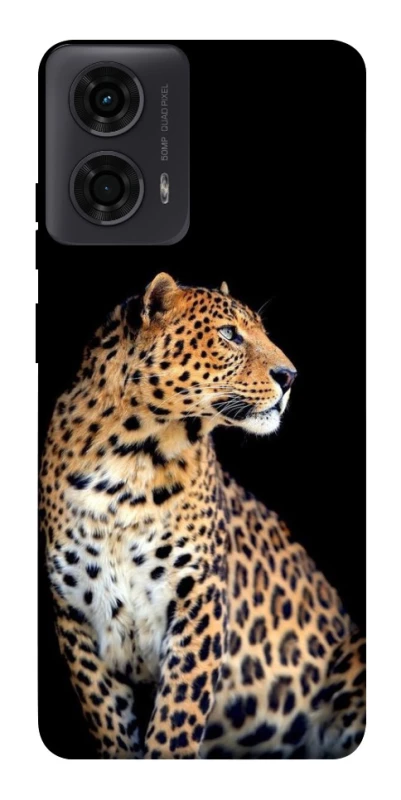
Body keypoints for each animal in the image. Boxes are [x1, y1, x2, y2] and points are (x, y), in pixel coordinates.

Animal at [39, 272, 366, 759]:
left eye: (262, 331)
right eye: (229, 334)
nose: (290, 376)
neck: (129, 461)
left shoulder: (200, 597)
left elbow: (176, 719)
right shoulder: (76, 617)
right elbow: (111, 722)